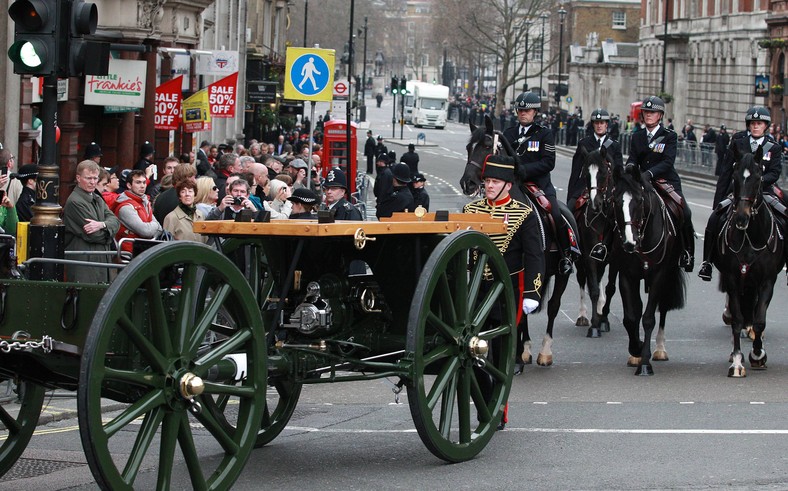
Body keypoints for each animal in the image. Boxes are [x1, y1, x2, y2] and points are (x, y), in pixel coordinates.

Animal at [462, 116, 580, 368]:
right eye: (468, 148)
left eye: (485, 146)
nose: (467, 183)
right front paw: (516, 352)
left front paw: (515, 357)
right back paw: (525, 349)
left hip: (562, 274)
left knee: (552, 306)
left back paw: (544, 351)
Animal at [572, 146, 620, 338]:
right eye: (586, 173)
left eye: (604, 173)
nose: (595, 204)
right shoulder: (588, 257)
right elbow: (592, 289)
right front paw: (594, 325)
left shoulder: (614, 260)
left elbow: (609, 288)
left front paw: (603, 320)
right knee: (582, 280)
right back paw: (583, 316)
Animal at [608, 163, 688, 374]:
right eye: (615, 201)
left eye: (639, 201)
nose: (629, 243)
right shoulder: (627, 276)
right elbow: (631, 317)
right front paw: (636, 349)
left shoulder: (659, 275)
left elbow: (649, 318)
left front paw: (644, 363)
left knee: (663, 308)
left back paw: (659, 349)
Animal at [708, 148, 780, 378]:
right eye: (735, 177)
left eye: (758, 178)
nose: (741, 218)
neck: (750, 237)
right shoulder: (733, 279)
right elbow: (738, 319)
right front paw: (738, 361)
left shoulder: (767, 281)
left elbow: (759, 320)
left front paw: (758, 354)